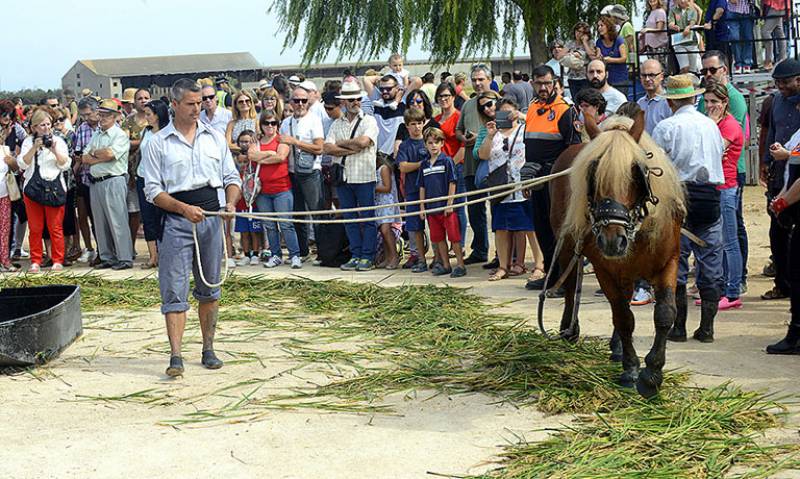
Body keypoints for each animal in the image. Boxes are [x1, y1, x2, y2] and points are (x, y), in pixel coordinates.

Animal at [552, 112, 688, 398]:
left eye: (637, 173)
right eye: (593, 175)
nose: (613, 241)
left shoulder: (668, 262)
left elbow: (664, 314)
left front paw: (652, 374)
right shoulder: (606, 270)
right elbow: (624, 318)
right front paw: (631, 370)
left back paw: (616, 348)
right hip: (568, 245)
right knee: (570, 287)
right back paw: (570, 329)